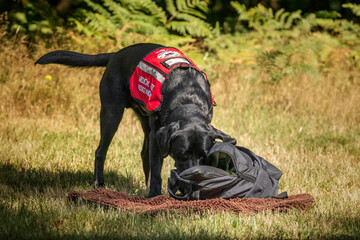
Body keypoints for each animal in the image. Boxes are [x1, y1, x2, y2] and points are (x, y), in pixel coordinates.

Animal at [35, 43, 235, 197]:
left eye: (203, 156)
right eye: (181, 154)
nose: (192, 185)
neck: (187, 98)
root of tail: (116, 54)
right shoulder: (157, 136)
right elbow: (156, 169)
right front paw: (155, 195)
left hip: (145, 121)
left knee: (143, 153)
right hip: (112, 112)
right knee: (101, 151)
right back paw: (99, 184)